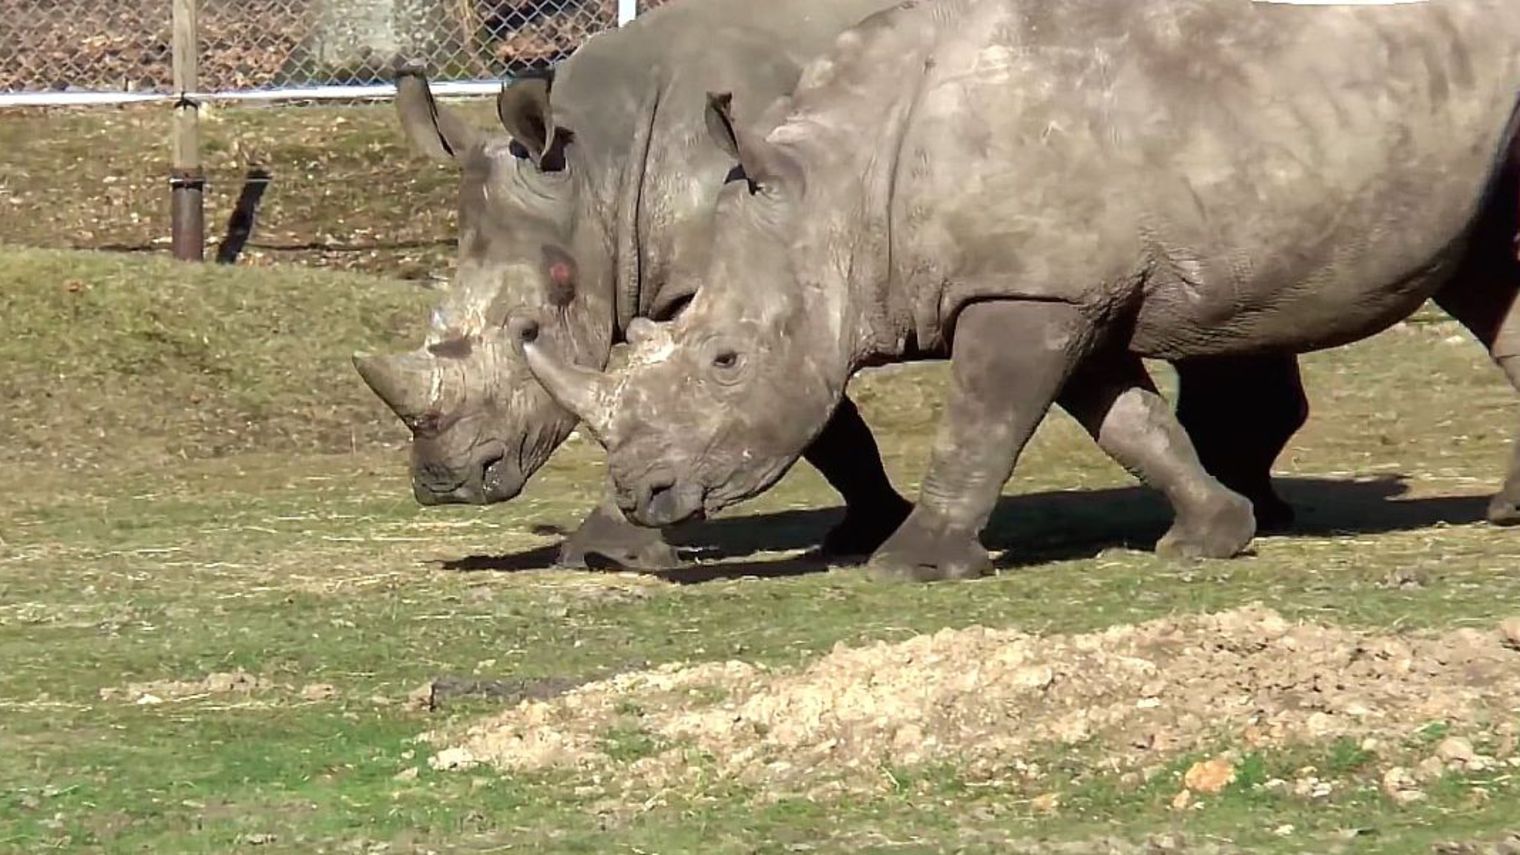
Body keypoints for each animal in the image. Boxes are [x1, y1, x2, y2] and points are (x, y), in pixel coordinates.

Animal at [355, 0, 1310, 570]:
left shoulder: (748, 273)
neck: (601, 170)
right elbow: (822, 424)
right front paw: (864, 525)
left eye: (534, 320)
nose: (441, 481)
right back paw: (1246, 503)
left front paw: (608, 549)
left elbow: (802, 415)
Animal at [517, 0, 1520, 582]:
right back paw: (1512, 513)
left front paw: (912, 566)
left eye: (727, 359)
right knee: (1491, 278)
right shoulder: (1066, 289)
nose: (644, 492)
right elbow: (1128, 423)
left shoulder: (1028, 292)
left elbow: (980, 422)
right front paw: (1211, 535)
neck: (837, 195)